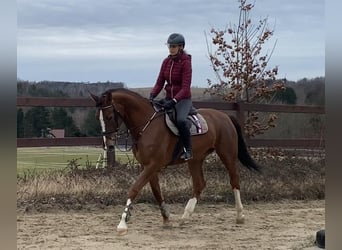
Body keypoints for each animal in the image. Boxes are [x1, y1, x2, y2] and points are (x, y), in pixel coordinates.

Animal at [89, 87, 260, 234]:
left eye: (110, 116)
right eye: (97, 118)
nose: (108, 145)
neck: (147, 125)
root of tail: (225, 116)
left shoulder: (152, 165)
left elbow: (134, 188)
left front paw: (123, 223)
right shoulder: (148, 166)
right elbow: (156, 192)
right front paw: (166, 218)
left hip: (227, 154)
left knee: (234, 180)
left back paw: (240, 216)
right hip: (195, 159)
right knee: (199, 184)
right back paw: (185, 217)